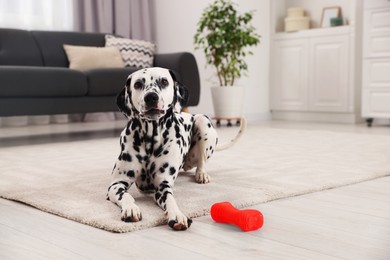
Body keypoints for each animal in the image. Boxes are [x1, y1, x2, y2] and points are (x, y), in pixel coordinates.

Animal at [106, 67, 247, 232]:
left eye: (164, 81)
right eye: (138, 84)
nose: (151, 97)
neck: (151, 139)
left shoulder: (163, 186)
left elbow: (171, 200)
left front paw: (178, 215)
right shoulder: (116, 184)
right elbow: (126, 196)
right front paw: (130, 208)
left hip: (203, 122)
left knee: (202, 161)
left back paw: (201, 174)